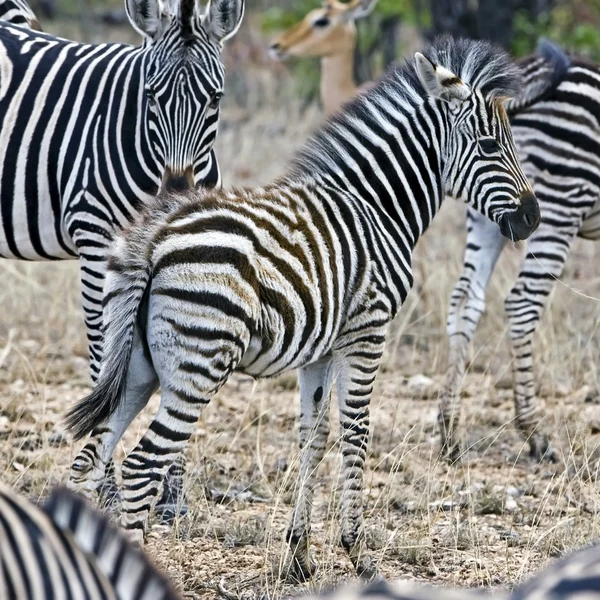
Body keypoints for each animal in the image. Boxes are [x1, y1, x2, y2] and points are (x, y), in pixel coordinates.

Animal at [64, 37, 540, 580]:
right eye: (489, 147)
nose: (532, 218)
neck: (377, 207)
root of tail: (155, 239)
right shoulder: (367, 332)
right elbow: (356, 432)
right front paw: (357, 553)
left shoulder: (321, 349)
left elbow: (314, 436)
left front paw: (299, 554)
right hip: (197, 366)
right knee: (144, 463)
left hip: (136, 365)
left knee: (90, 456)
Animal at [438, 41, 600, 464]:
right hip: (559, 204)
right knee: (523, 302)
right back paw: (533, 433)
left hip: (492, 206)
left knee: (464, 298)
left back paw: (449, 430)